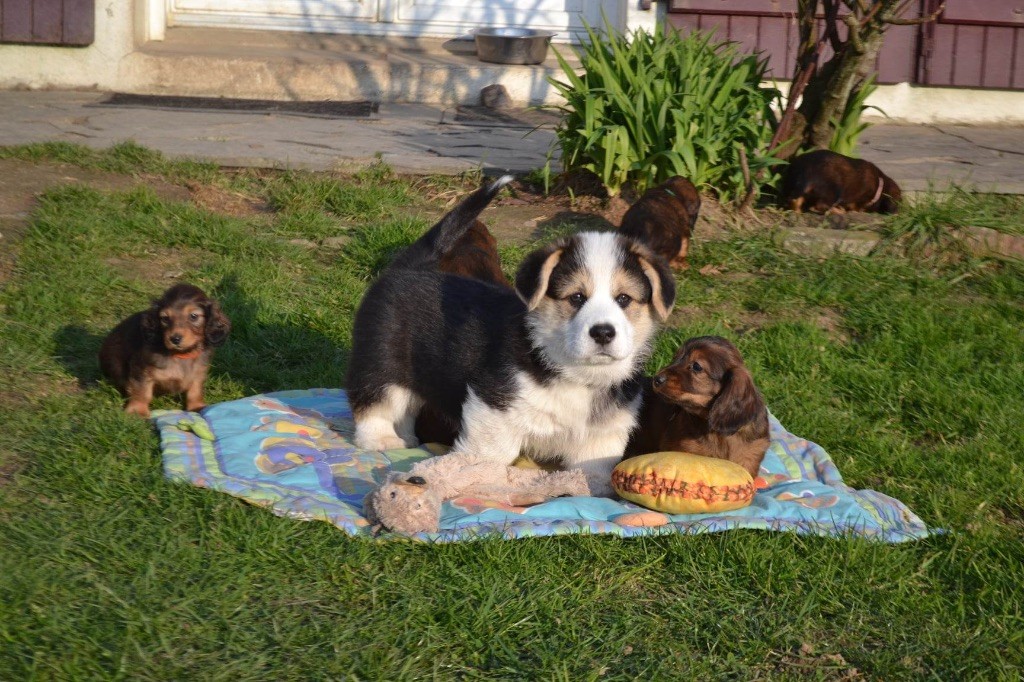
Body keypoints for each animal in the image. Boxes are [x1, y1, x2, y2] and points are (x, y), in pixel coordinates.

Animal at [97, 280, 230, 413]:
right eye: (165, 318)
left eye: (194, 316)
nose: (175, 339)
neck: (181, 354)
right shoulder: (141, 369)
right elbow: (142, 391)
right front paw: (137, 410)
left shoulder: (198, 372)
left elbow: (195, 391)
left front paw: (197, 407)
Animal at [348, 175, 675, 493]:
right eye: (577, 298)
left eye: (624, 299)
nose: (603, 333)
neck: (573, 371)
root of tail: (410, 267)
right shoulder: (493, 406)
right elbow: (491, 454)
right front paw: (472, 476)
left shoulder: (603, 434)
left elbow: (593, 471)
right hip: (381, 363)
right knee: (376, 404)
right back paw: (381, 439)